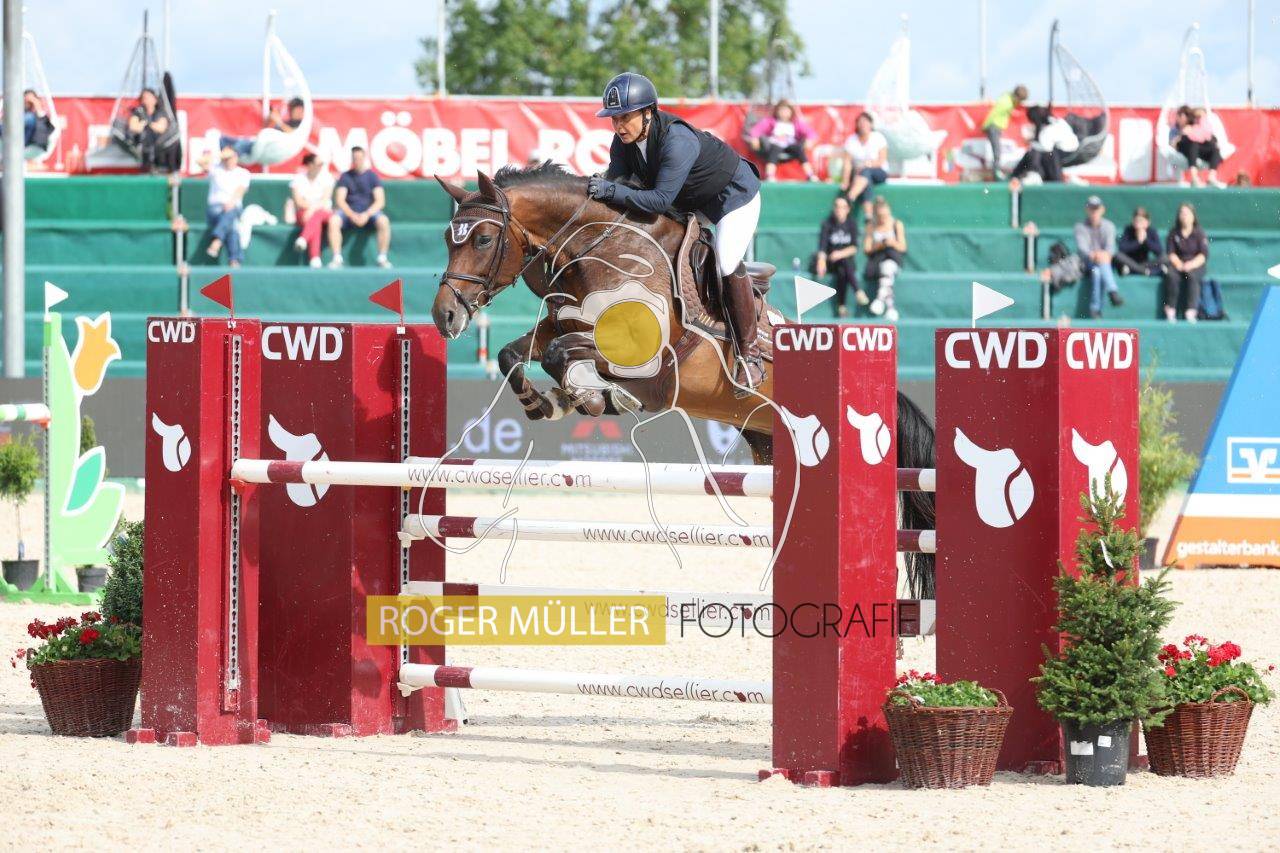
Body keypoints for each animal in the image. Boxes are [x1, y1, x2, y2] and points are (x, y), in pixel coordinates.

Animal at [431, 163, 936, 597]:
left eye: (482, 239)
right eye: (447, 239)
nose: (444, 316)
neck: (603, 249)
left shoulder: (647, 359)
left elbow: (565, 355)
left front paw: (593, 398)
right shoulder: (565, 324)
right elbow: (516, 353)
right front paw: (549, 402)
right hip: (768, 446)